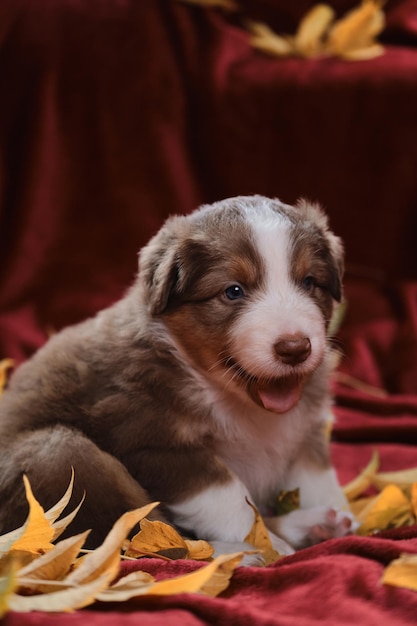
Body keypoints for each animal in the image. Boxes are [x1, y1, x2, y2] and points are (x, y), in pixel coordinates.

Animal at [0, 196, 352, 556]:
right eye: (233, 291)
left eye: (308, 282)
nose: (295, 348)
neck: (229, 394)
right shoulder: (157, 443)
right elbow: (230, 498)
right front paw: (268, 547)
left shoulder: (305, 426)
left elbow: (315, 477)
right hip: (60, 455)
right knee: (140, 538)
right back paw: (240, 552)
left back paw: (313, 525)